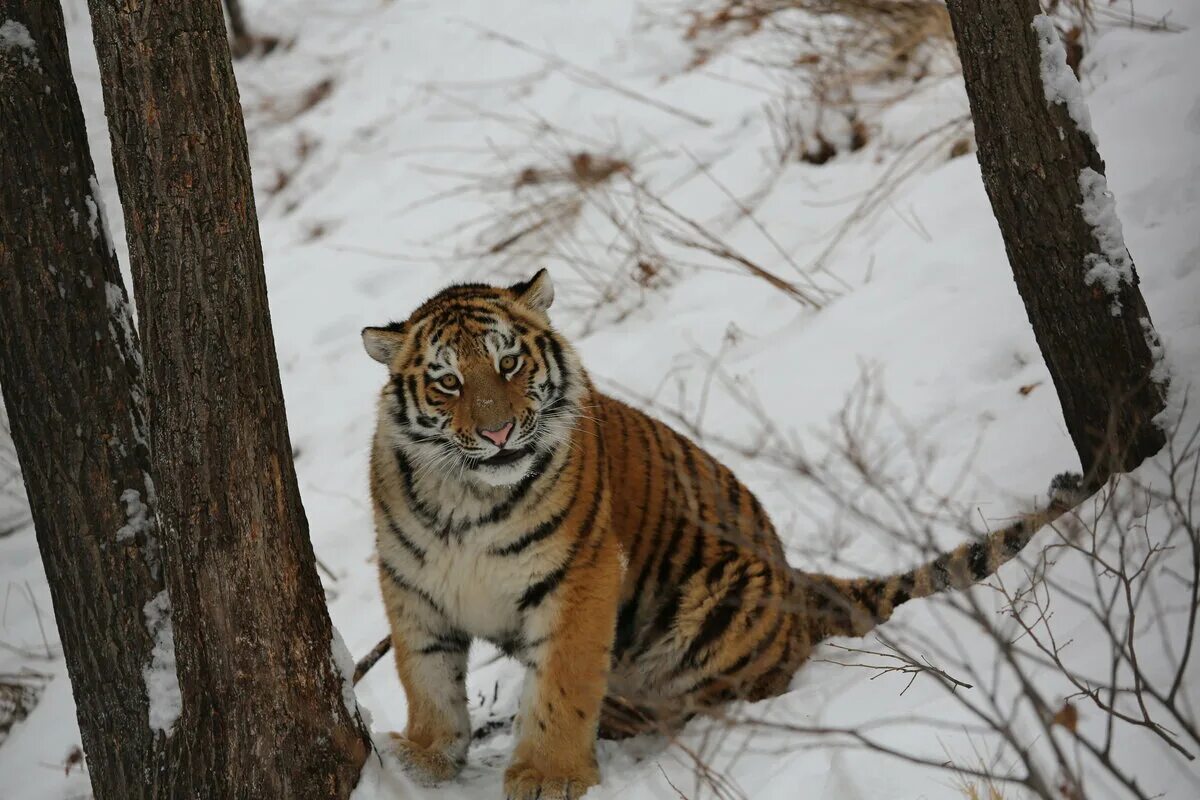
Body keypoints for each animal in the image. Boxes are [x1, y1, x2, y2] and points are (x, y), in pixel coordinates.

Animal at [360, 271, 1084, 800]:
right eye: (449, 382)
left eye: (509, 364)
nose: (498, 432)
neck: (466, 501)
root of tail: (796, 575)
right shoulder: (412, 588)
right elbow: (426, 679)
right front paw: (422, 758)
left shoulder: (579, 575)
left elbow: (561, 681)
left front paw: (549, 775)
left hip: (715, 595)